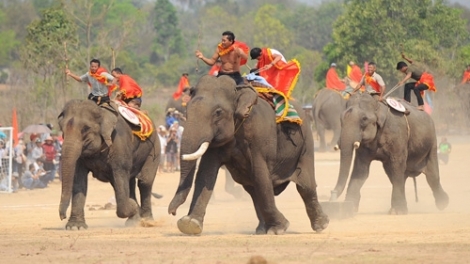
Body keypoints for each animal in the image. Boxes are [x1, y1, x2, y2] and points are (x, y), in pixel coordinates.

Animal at [57, 99, 161, 229]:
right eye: (61, 129)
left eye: (86, 129)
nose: (62, 216)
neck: (101, 110)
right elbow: (79, 179)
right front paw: (75, 227)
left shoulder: (119, 144)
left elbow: (120, 176)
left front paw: (133, 206)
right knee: (129, 182)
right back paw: (134, 220)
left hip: (155, 147)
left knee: (144, 181)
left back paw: (147, 221)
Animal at [167, 75, 328, 234]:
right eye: (186, 109)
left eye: (218, 112)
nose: (172, 212)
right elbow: (206, 173)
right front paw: (190, 224)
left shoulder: (258, 136)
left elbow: (261, 175)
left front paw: (279, 228)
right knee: (252, 189)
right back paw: (262, 230)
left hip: (306, 142)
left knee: (305, 185)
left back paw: (321, 225)